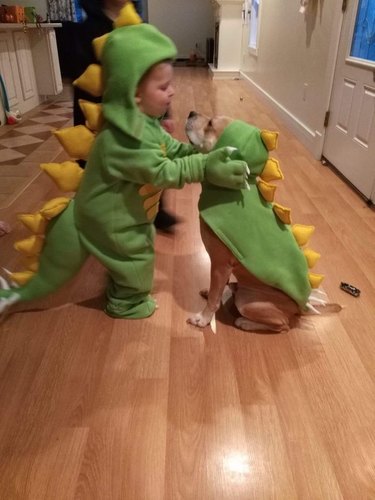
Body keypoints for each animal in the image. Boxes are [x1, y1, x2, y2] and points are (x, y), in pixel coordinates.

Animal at [187, 113, 334, 332]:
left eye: (211, 124)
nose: (191, 113)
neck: (231, 188)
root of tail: (301, 309)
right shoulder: (223, 268)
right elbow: (217, 289)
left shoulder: (220, 264)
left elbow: (214, 296)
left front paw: (204, 318)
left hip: (249, 301)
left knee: (282, 325)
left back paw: (245, 323)